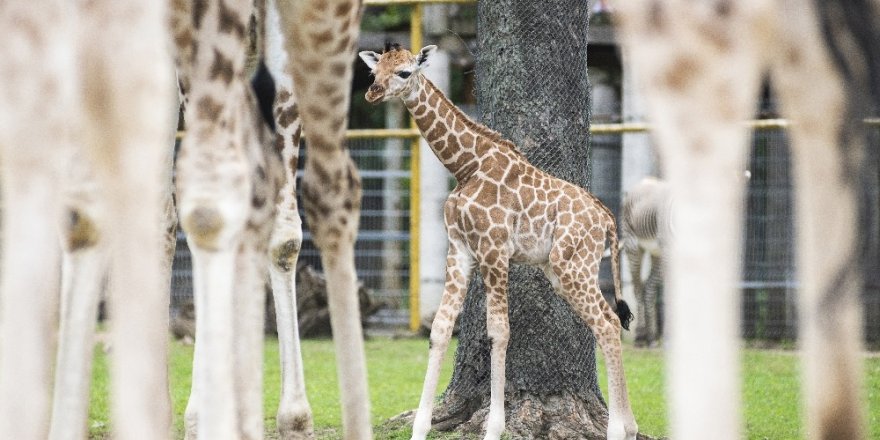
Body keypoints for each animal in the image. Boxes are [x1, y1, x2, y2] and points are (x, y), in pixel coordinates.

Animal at [360, 43, 636, 440]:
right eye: (374, 70)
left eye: (404, 72)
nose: (372, 93)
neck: (465, 167)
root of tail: (607, 220)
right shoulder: (459, 250)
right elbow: (441, 328)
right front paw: (420, 427)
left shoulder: (493, 250)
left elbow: (499, 332)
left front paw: (494, 427)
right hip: (563, 270)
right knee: (609, 320)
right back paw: (630, 425)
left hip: (574, 266)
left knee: (608, 324)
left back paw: (617, 428)